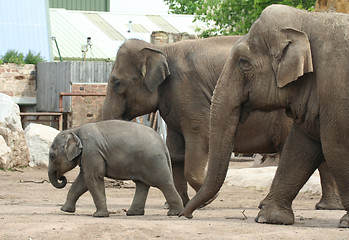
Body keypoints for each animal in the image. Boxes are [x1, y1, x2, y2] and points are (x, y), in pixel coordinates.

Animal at [49, 120, 185, 218]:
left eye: (52, 156)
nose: (62, 178)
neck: (75, 130)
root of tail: (162, 142)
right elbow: (82, 180)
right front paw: (65, 210)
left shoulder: (92, 151)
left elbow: (92, 178)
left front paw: (99, 216)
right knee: (142, 184)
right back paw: (133, 213)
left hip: (153, 161)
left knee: (163, 183)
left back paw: (174, 213)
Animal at [181, 5, 348, 227]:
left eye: (243, 62)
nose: (185, 214)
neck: (308, 19)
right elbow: (300, 146)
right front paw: (269, 218)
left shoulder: (336, 90)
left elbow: (335, 147)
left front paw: (346, 222)